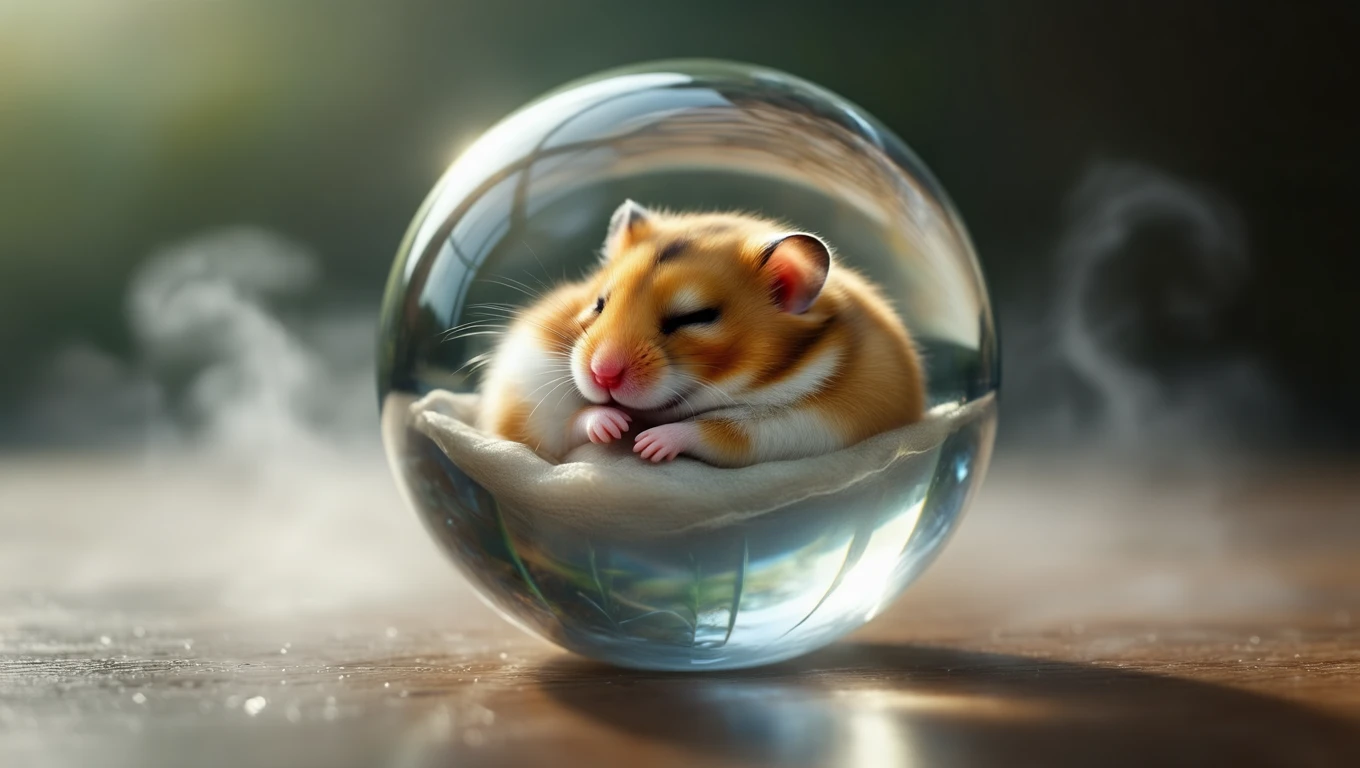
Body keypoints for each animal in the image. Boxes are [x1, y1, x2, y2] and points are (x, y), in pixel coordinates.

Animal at [475, 199, 926, 468]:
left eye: (695, 317)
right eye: (599, 303)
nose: (602, 375)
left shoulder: (813, 424)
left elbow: (723, 429)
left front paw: (648, 445)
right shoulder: (527, 385)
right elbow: (563, 424)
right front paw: (613, 426)